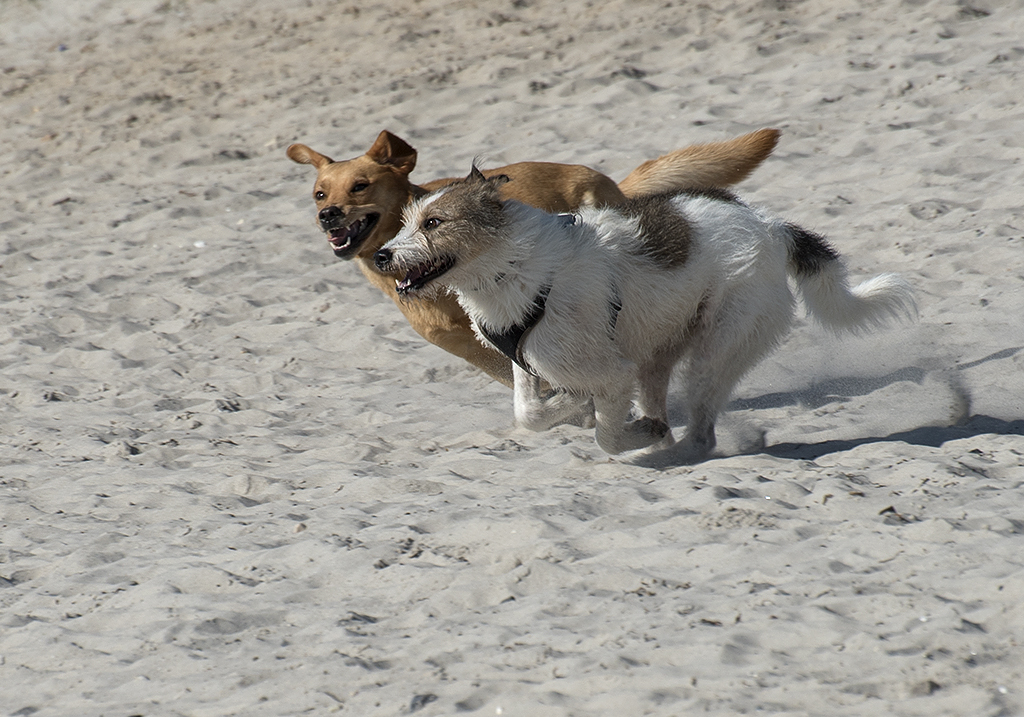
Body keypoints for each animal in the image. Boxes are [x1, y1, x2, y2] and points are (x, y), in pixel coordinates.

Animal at [372, 166, 917, 458]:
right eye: (407, 222)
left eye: (434, 223)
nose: (381, 256)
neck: (515, 264)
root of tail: (769, 226)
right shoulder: (527, 358)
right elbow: (530, 413)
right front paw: (568, 407)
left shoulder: (612, 373)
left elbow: (607, 435)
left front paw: (625, 433)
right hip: (660, 349)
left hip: (721, 344)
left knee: (700, 426)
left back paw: (673, 450)